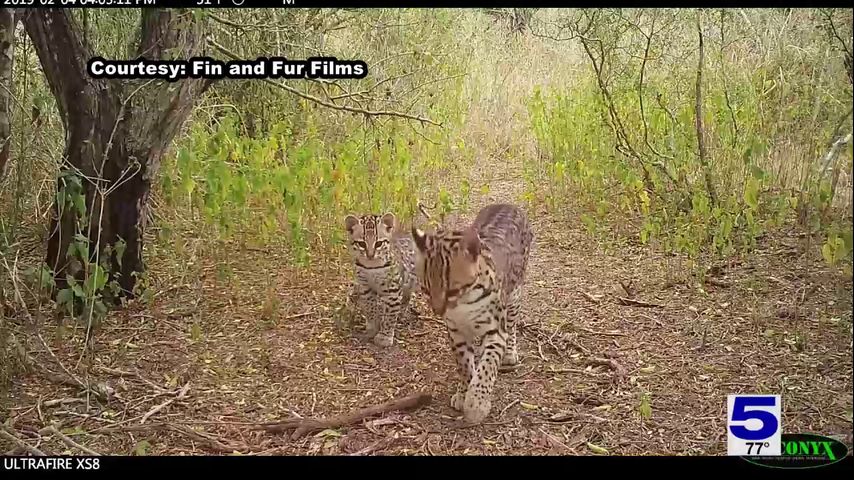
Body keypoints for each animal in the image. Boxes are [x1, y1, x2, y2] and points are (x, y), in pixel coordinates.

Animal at [344, 213, 418, 344]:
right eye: (362, 244)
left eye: (378, 244)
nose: (370, 255)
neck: (371, 267)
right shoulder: (365, 287)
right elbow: (370, 308)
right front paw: (372, 327)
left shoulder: (392, 290)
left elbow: (390, 314)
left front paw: (385, 336)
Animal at [412, 203, 532, 424]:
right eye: (425, 289)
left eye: (452, 290)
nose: (437, 311)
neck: (464, 304)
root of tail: (507, 204)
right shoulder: (456, 331)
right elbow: (464, 364)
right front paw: (464, 390)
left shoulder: (495, 331)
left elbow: (487, 367)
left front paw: (477, 402)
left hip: (515, 294)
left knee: (512, 325)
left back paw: (510, 353)